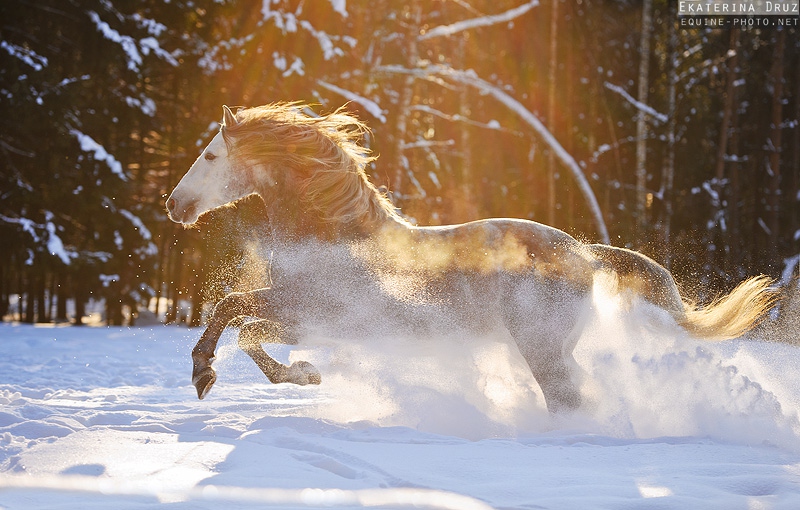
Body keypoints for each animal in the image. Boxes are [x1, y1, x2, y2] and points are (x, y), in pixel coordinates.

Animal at [167, 103, 776, 414]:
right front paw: (304, 374)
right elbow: (247, 329)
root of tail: (584, 252)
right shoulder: (304, 319)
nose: (175, 206)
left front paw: (203, 373)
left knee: (570, 400)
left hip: (540, 348)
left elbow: (230, 309)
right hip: (555, 347)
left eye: (210, 155)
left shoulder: (307, 309)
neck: (331, 233)